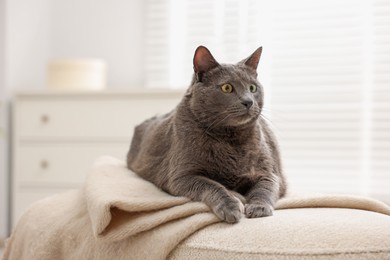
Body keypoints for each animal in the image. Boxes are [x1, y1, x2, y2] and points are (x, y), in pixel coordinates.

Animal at [128, 45, 286, 222]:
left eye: (253, 88)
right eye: (227, 87)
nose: (248, 101)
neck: (230, 138)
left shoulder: (270, 172)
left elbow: (265, 187)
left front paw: (259, 207)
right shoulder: (181, 176)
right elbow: (211, 185)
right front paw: (230, 206)